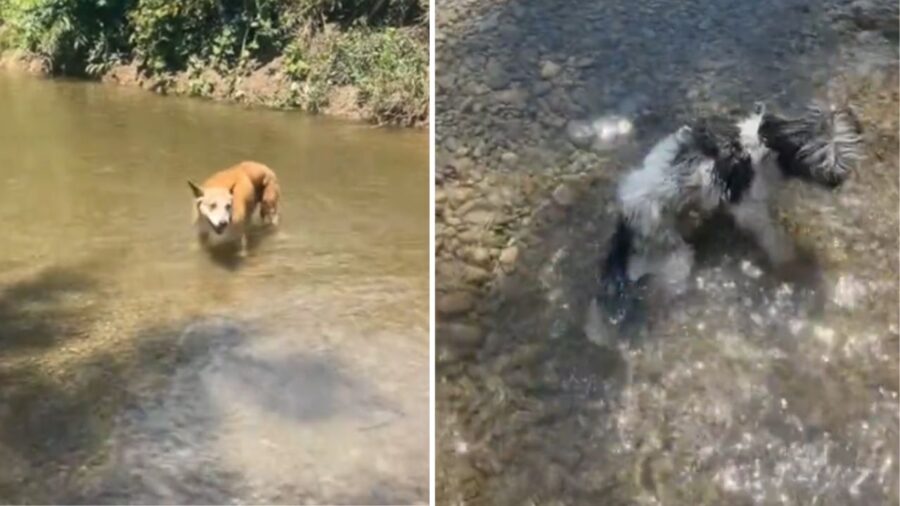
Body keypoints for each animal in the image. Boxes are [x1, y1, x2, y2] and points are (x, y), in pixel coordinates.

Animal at [588, 100, 860, 344]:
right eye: (820, 160)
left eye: (845, 151)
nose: (837, 181)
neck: (764, 140)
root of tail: (626, 221)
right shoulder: (749, 205)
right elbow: (771, 236)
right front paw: (789, 262)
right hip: (669, 250)